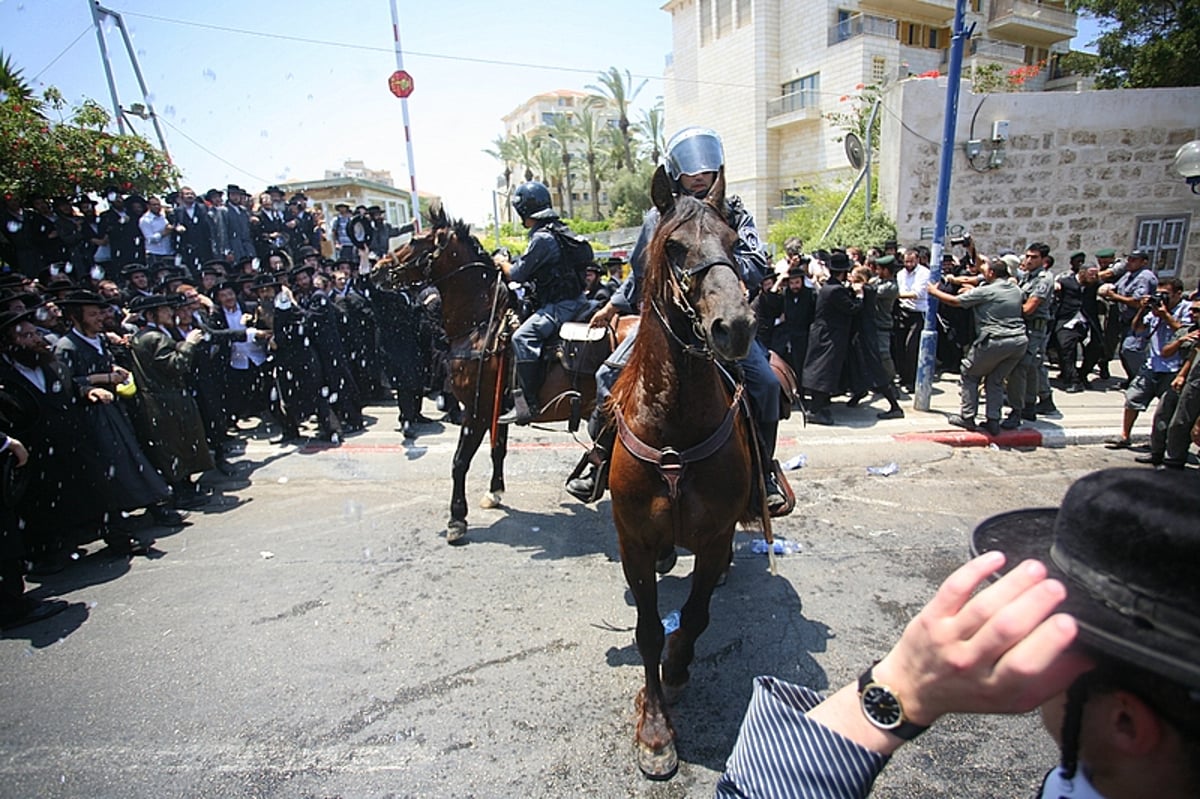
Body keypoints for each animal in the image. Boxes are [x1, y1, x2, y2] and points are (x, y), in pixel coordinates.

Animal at [369, 206, 604, 542]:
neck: (482, 325)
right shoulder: (497, 409)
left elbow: (460, 461)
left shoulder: (476, 409)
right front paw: (495, 492)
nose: (376, 269)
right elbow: (497, 450)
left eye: (413, 240)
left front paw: (457, 518)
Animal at [609, 164, 768, 772]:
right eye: (674, 247)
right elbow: (648, 630)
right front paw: (655, 729)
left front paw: (677, 670)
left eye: (733, 243)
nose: (735, 327)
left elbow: (695, 616)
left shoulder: (716, 534)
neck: (673, 423)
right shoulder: (632, 538)